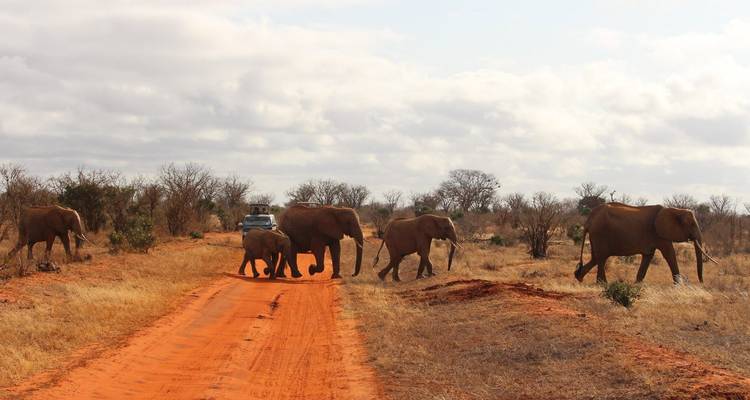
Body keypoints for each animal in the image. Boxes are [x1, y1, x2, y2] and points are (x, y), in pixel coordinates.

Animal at [574, 202, 717, 284]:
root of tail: (589, 220)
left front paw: (637, 284)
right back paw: (602, 284)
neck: (675, 210)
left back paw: (579, 277)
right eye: (692, 224)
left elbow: (648, 256)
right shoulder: (659, 233)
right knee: (601, 258)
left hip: (596, 235)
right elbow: (669, 254)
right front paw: (679, 285)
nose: (701, 283)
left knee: (596, 257)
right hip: (600, 233)